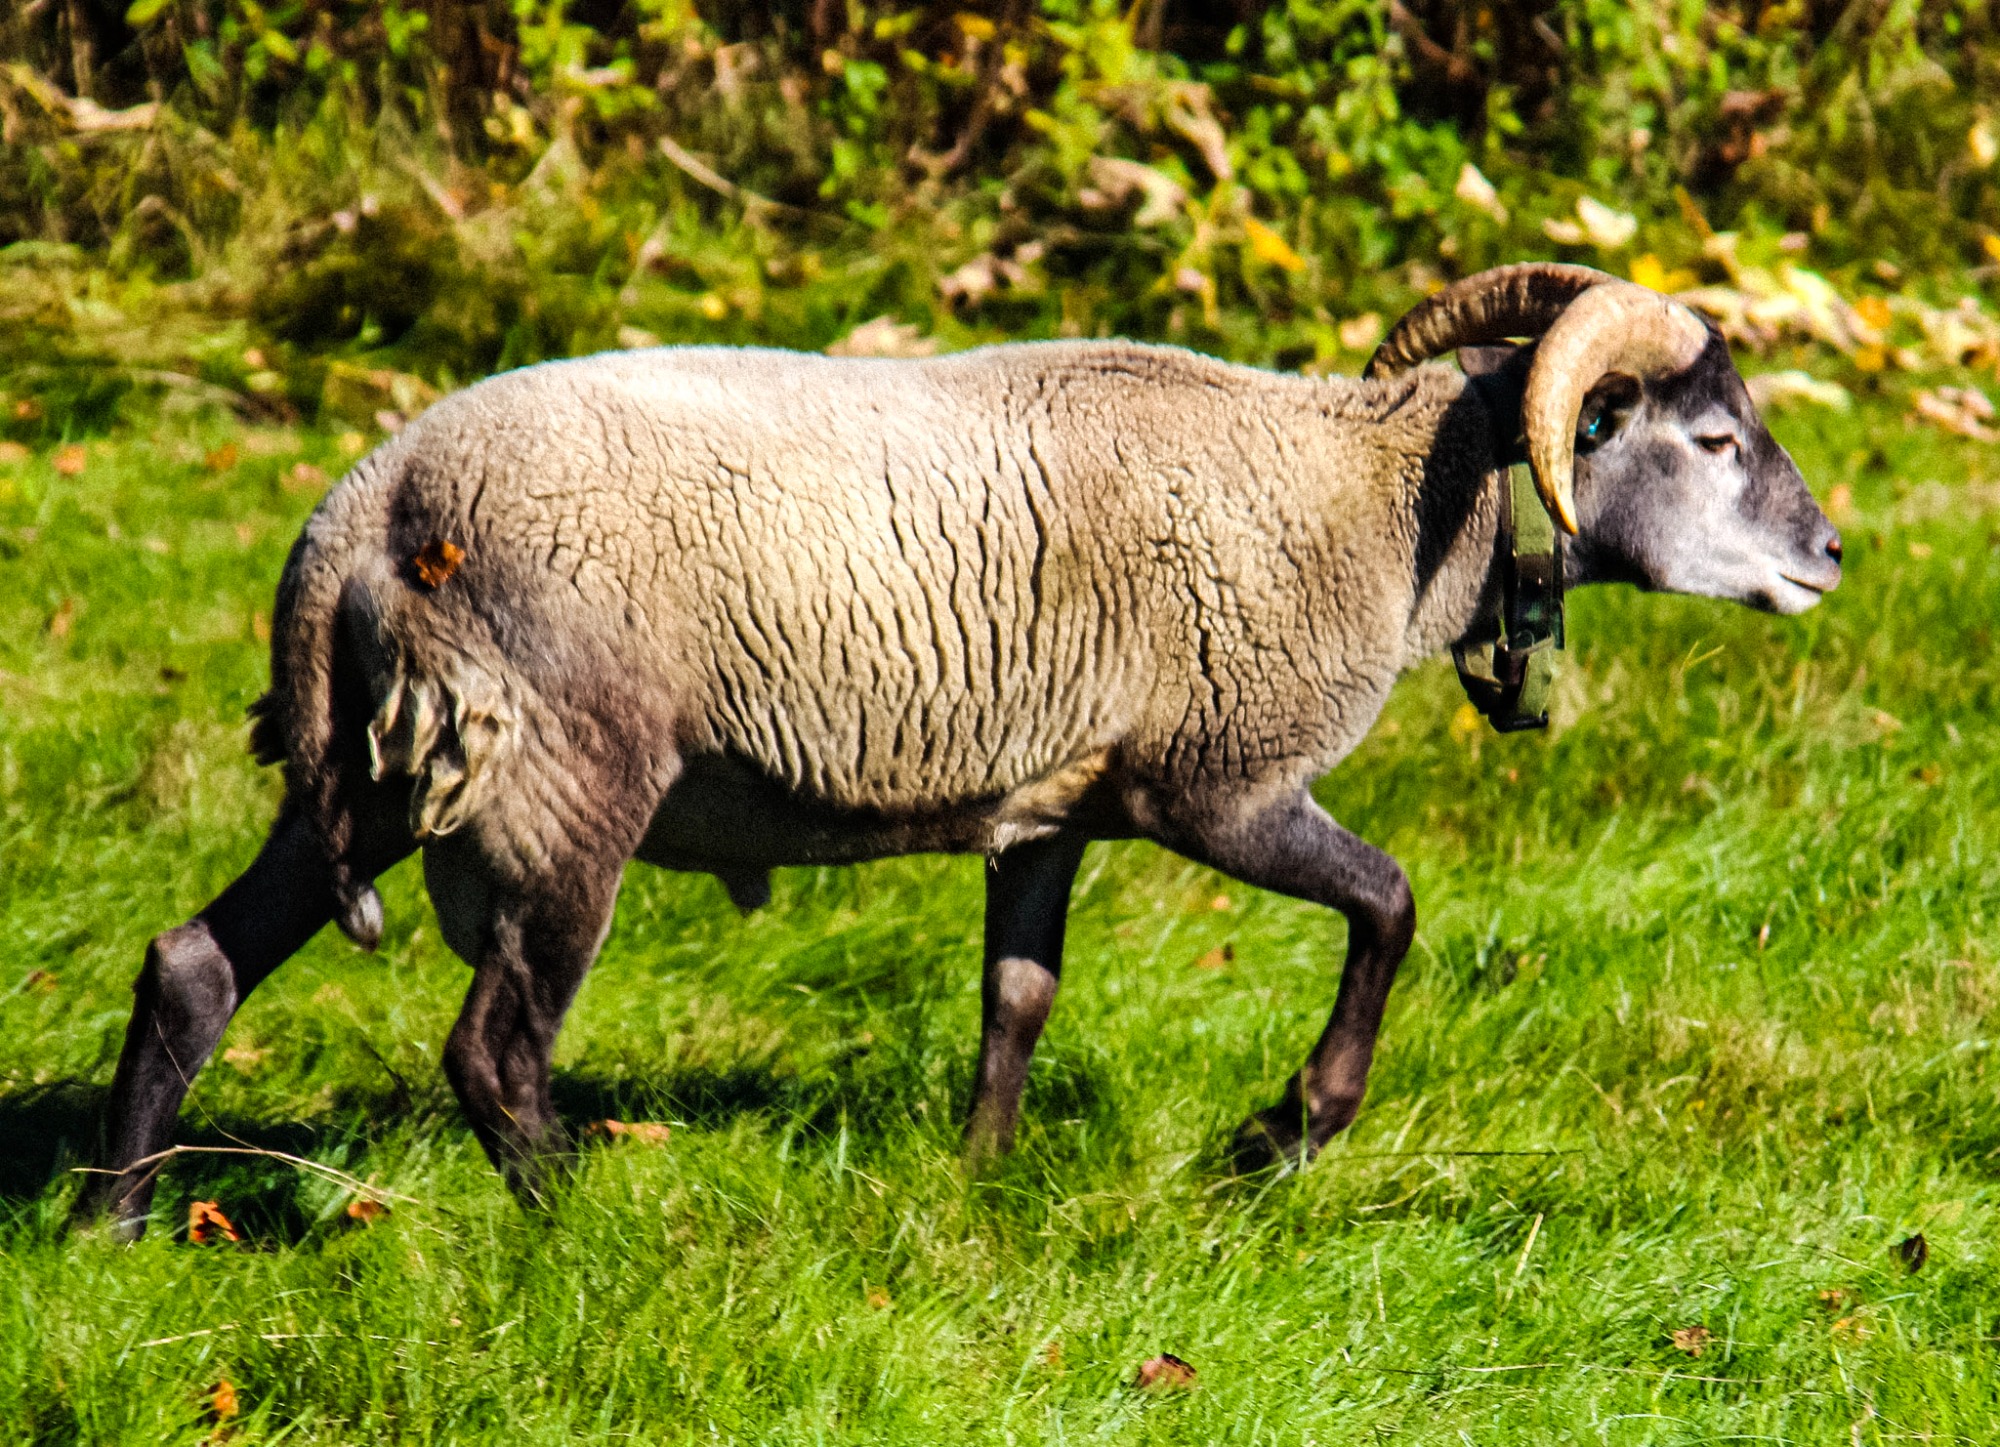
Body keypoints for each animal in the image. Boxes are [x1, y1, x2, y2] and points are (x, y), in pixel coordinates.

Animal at [86, 264, 1842, 1232]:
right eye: (1712, 439)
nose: (1833, 557)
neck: (1380, 499)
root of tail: (358, 513)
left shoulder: (1048, 806)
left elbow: (1019, 993)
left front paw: (982, 1190)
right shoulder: (1216, 785)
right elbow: (1392, 903)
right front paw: (1281, 1133)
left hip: (384, 779)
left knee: (193, 962)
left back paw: (108, 1227)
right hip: (561, 783)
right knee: (495, 1051)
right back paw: (591, 1233)